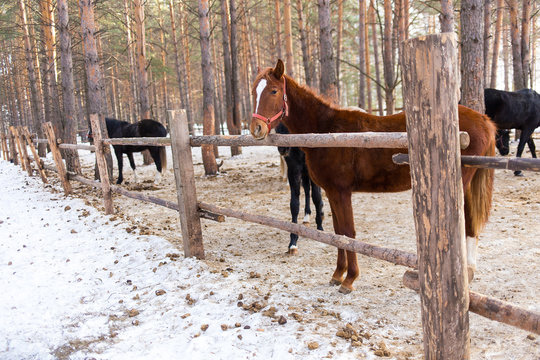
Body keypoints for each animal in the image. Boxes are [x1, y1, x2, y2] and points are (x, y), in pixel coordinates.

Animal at [276, 123, 322, 253]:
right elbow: (294, 204)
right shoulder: (294, 171)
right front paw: (293, 242)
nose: (282, 149)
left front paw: (320, 227)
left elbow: (316, 197)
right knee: (306, 190)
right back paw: (307, 216)